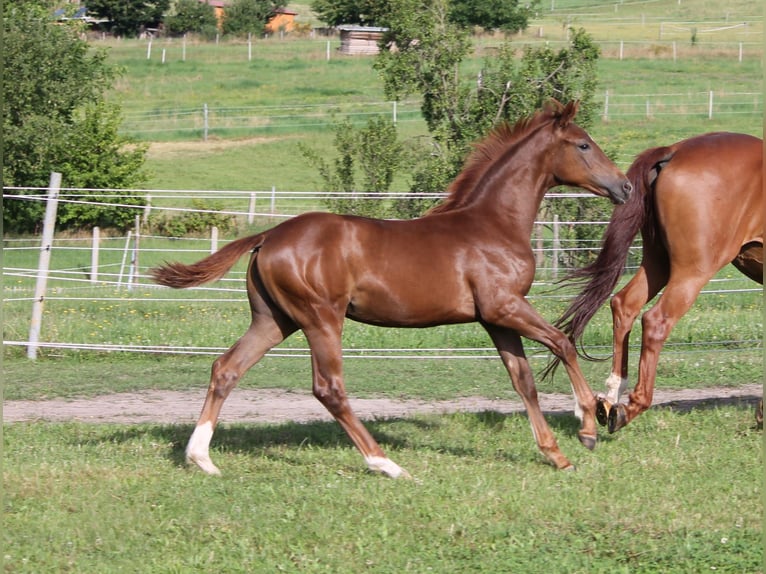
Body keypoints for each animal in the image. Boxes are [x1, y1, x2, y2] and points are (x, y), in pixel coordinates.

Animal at [150, 101, 632, 480]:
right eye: (583, 144)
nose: (624, 186)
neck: (493, 224)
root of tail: (268, 236)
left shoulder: (494, 319)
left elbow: (523, 381)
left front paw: (556, 455)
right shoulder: (506, 306)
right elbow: (563, 344)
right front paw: (589, 423)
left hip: (274, 319)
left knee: (226, 368)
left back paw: (202, 458)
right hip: (320, 318)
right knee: (329, 387)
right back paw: (387, 464)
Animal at [556, 133, 764, 434]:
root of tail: (674, 151)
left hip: (657, 263)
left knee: (624, 304)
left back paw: (610, 398)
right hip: (691, 272)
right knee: (655, 321)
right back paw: (630, 407)